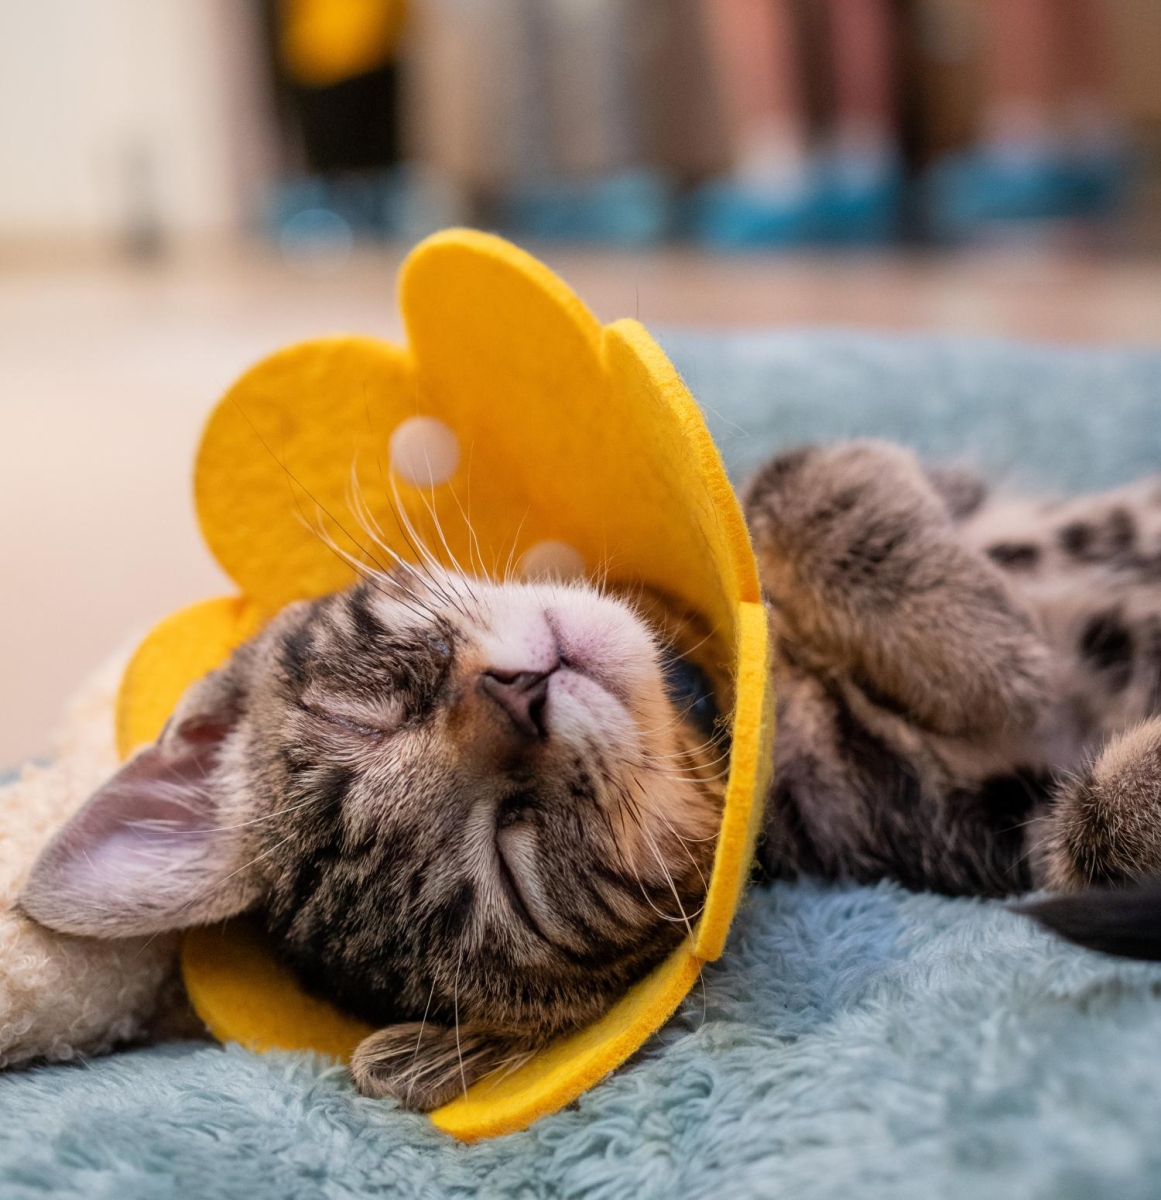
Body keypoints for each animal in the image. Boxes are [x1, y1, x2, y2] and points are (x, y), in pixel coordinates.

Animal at [20, 439, 1161, 1104]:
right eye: (513, 851)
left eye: (371, 709)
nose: (516, 694)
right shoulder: (960, 823)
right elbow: (1078, 826)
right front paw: (1026, 688)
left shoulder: (896, 480)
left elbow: (799, 481)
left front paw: (977, 644)